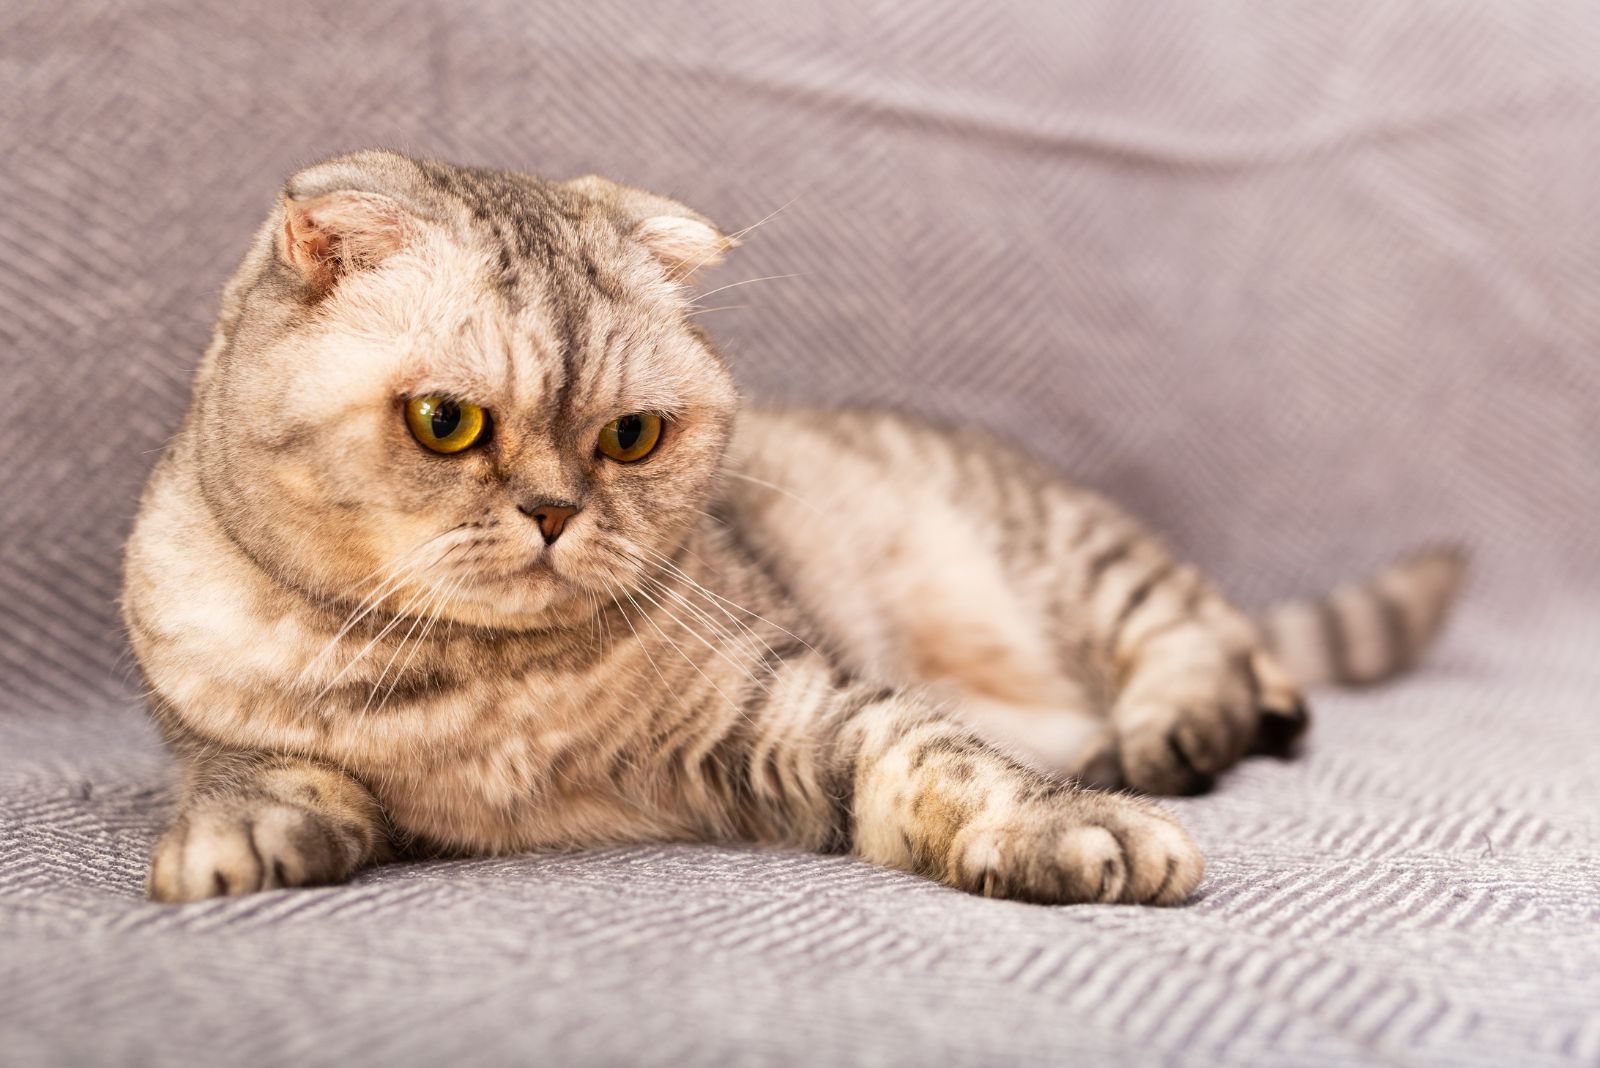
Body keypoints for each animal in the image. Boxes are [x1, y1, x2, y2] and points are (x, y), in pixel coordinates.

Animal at [124, 147, 1465, 901]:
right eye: (446, 422)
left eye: (631, 437)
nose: (555, 512)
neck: (486, 692)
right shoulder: (202, 712)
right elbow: (243, 767)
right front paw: (244, 835)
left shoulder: (791, 704)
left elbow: (941, 759)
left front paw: (1071, 826)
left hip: (1075, 559)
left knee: (1208, 639)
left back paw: (1172, 735)